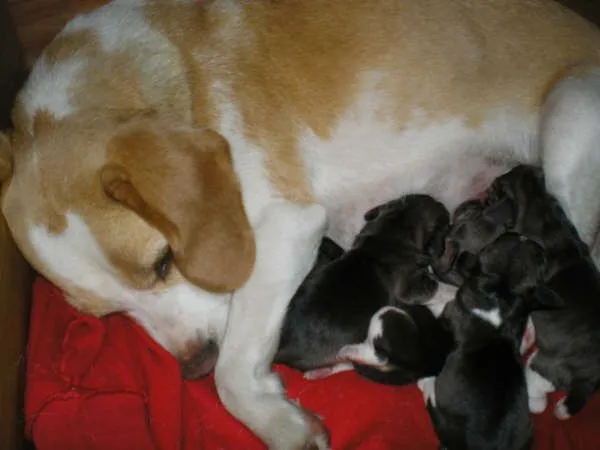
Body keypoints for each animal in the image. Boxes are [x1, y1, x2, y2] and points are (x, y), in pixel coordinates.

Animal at [420, 234, 560, 450]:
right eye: (540, 258)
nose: (525, 236)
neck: (501, 290)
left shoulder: (451, 309)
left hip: (441, 414)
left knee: (431, 397)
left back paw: (427, 382)